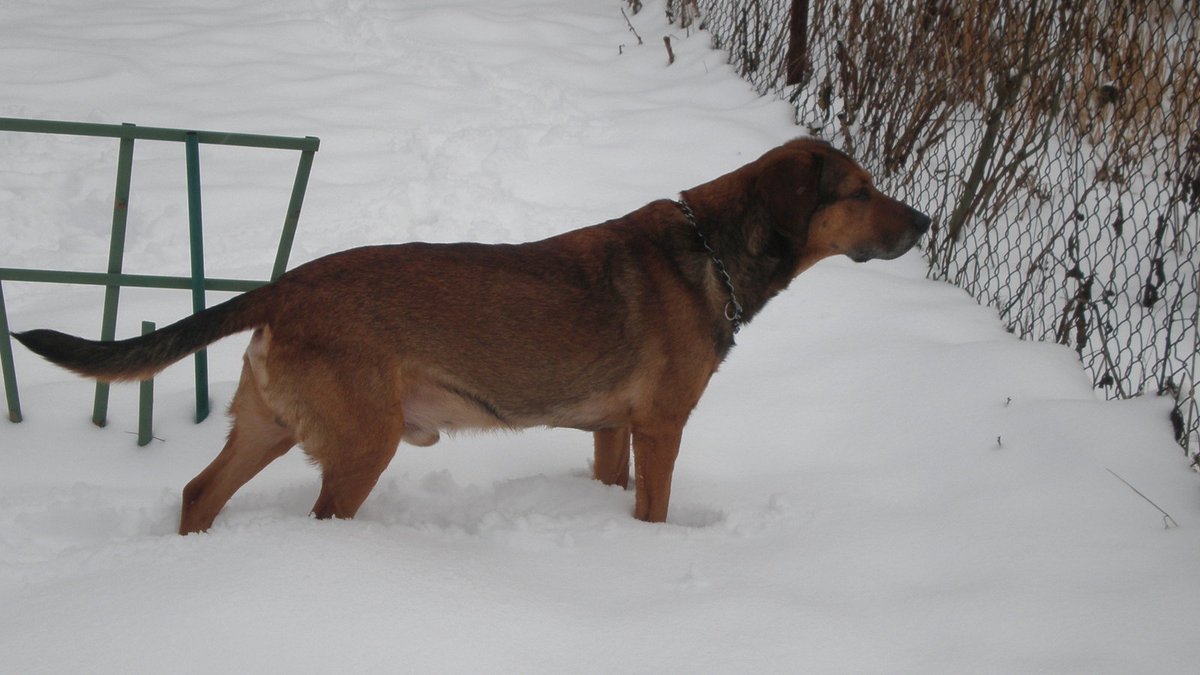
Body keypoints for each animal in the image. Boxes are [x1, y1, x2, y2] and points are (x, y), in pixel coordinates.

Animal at [14, 139, 931, 533]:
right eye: (859, 190)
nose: (924, 223)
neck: (710, 249)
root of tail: (287, 285)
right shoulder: (661, 427)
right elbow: (656, 510)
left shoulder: (612, 431)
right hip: (363, 444)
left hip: (271, 426)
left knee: (198, 493)